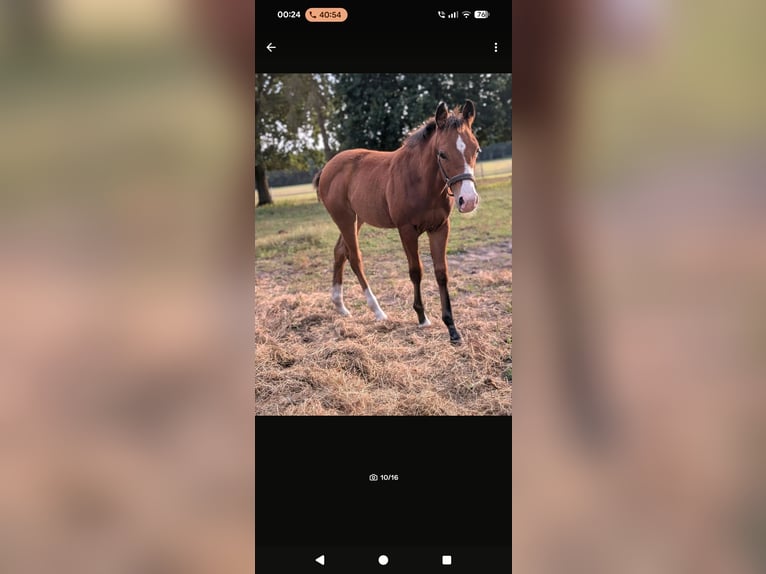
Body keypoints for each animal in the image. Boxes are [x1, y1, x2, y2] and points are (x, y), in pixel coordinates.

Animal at [314, 100, 481, 344]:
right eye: (442, 154)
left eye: (476, 150)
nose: (468, 201)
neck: (422, 181)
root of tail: (327, 167)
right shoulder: (406, 230)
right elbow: (416, 271)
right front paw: (422, 317)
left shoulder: (440, 228)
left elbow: (441, 273)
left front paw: (452, 329)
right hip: (344, 218)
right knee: (355, 258)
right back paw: (378, 311)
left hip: (357, 219)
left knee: (339, 251)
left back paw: (340, 305)